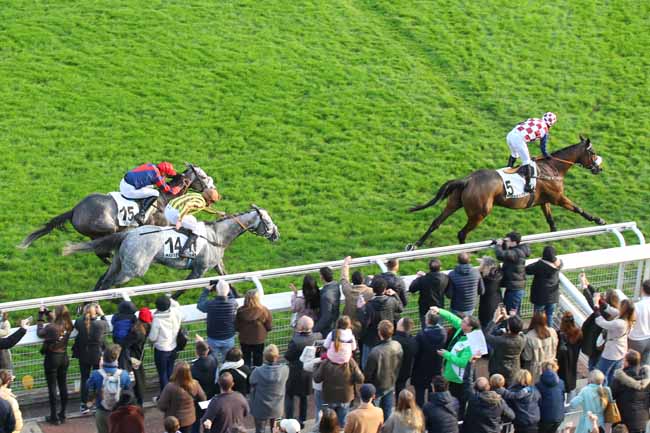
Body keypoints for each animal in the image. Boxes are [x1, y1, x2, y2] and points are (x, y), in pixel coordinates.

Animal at [18, 163, 213, 262]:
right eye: (203, 177)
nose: (213, 191)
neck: (163, 199)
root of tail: (75, 210)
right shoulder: (161, 224)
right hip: (105, 229)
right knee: (100, 248)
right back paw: (112, 258)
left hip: (94, 233)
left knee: (98, 250)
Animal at [62, 203, 280, 290]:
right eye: (268, 221)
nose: (276, 234)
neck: (216, 235)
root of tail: (129, 233)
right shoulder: (199, 271)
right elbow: (178, 291)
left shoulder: (216, 265)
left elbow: (229, 281)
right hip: (133, 270)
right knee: (109, 284)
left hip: (118, 262)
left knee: (103, 280)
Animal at [408, 137, 604, 248]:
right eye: (592, 152)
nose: (599, 168)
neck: (552, 167)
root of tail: (468, 180)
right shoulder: (558, 198)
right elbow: (578, 209)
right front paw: (598, 220)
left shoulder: (544, 201)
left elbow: (551, 222)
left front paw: (553, 238)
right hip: (479, 213)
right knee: (462, 233)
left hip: (454, 203)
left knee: (436, 222)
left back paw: (416, 244)